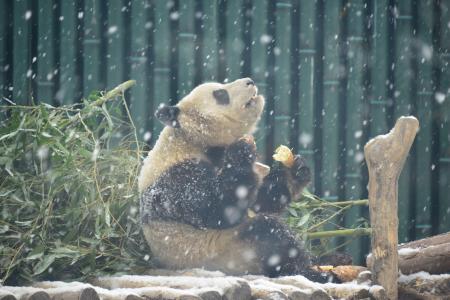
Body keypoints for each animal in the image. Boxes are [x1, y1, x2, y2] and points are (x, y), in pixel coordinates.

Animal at [137, 77, 326, 282]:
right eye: (221, 94)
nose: (250, 81)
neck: (191, 139)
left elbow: (261, 201)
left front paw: (296, 169)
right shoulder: (177, 177)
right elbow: (217, 208)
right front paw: (241, 151)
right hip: (225, 252)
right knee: (269, 233)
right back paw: (309, 272)